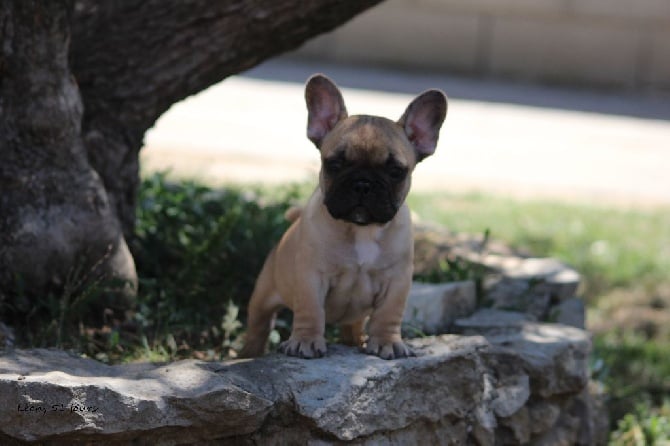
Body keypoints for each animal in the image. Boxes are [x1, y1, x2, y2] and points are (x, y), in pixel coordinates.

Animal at [239, 73, 448, 358]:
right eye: (334, 164)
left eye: (395, 171)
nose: (362, 183)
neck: (361, 229)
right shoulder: (310, 277)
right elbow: (310, 310)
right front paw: (305, 341)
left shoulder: (397, 281)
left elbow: (389, 314)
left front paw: (387, 341)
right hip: (263, 296)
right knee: (259, 326)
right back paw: (250, 352)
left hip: (355, 316)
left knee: (353, 327)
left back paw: (357, 342)